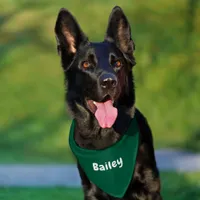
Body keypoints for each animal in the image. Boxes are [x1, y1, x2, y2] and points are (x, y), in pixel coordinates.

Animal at [54, 6, 162, 200]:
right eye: (86, 64)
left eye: (117, 63)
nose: (109, 82)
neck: (104, 135)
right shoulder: (91, 191)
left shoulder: (150, 187)